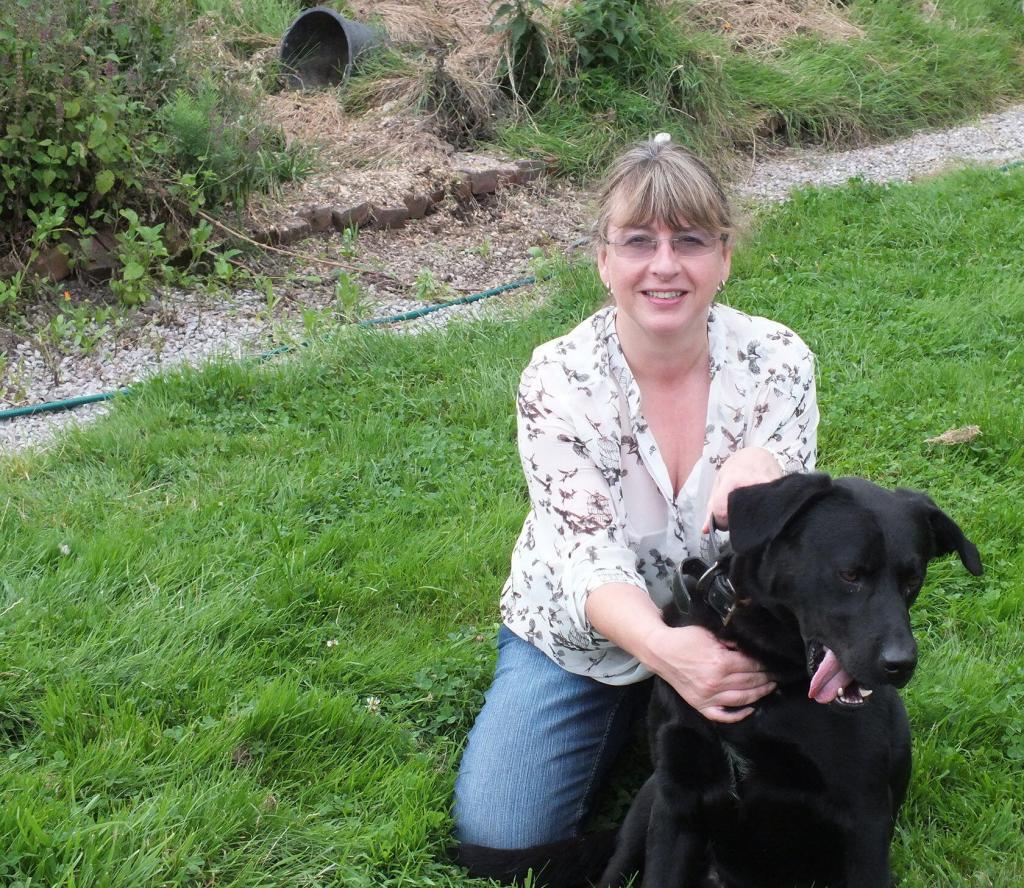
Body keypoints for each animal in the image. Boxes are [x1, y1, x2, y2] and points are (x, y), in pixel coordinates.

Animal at [598, 473, 983, 888]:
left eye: (912, 581)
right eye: (849, 575)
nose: (901, 664)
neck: (772, 673)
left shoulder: (865, 815)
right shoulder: (676, 802)